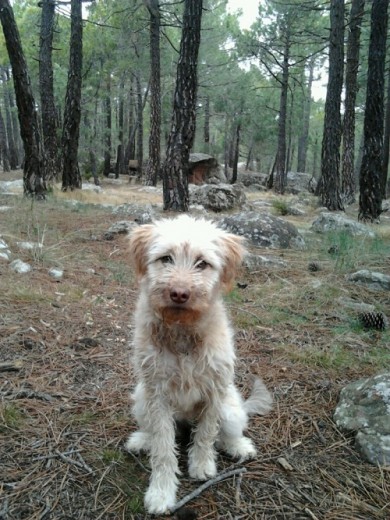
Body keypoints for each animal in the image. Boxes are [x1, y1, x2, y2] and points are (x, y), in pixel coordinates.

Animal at [124, 216, 272, 516]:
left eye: (202, 263)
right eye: (165, 258)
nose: (179, 294)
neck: (182, 331)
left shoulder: (214, 390)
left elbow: (205, 434)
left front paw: (202, 466)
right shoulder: (157, 394)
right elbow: (163, 448)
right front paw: (161, 492)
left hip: (230, 408)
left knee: (226, 434)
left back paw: (239, 446)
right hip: (141, 399)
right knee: (154, 432)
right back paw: (142, 440)